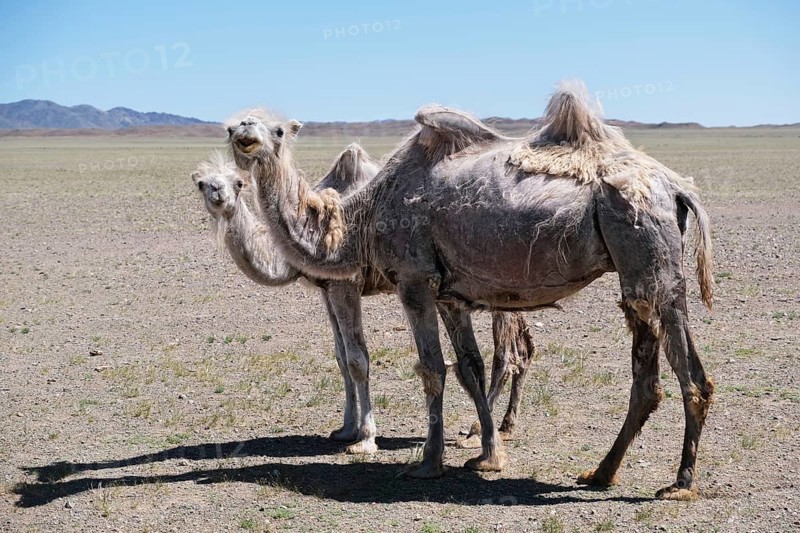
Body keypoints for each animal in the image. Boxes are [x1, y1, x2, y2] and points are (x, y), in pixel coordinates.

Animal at [191, 148, 535, 454]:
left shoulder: (346, 284)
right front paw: (345, 428)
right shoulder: (326, 289)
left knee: (505, 354)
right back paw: (506, 424)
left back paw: (477, 432)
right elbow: (341, 357)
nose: (219, 194)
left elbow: (358, 360)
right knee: (523, 349)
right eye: (202, 183)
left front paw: (366, 438)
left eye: (239, 182)